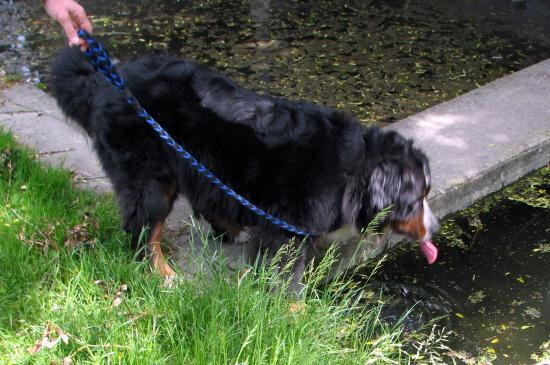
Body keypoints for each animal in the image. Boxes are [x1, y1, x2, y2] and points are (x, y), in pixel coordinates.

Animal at [50, 44, 440, 284]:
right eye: (416, 198)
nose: (435, 228)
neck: (352, 173)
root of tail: (105, 80)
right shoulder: (287, 225)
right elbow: (285, 273)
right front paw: (292, 312)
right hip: (148, 174)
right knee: (144, 228)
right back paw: (162, 273)